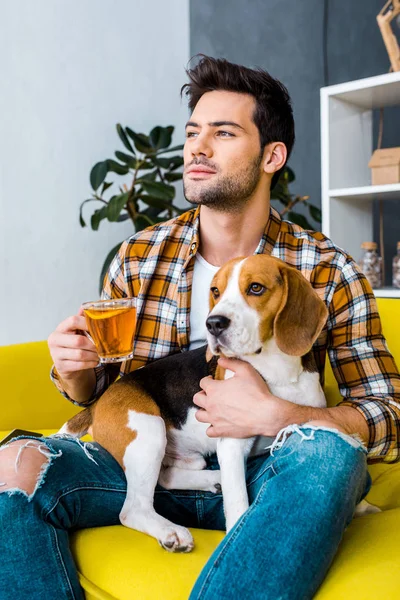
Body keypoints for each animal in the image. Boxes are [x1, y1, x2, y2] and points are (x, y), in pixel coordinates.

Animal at [57, 253, 374, 552]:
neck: (275, 372)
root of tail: (100, 401)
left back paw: (213, 478)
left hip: (185, 455)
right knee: (133, 509)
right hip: (148, 432)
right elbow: (238, 505)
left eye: (256, 288)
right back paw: (172, 530)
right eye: (216, 291)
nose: (214, 323)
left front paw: (362, 506)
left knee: (166, 478)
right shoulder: (232, 443)